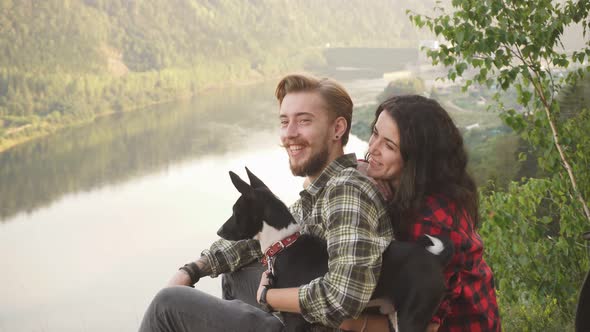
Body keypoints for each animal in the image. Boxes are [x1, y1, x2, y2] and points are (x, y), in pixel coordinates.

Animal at [217, 169, 454, 332]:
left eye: (235, 212)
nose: (219, 230)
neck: (284, 243)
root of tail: (434, 258)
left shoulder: (295, 320)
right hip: (394, 315)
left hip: (411, 317)